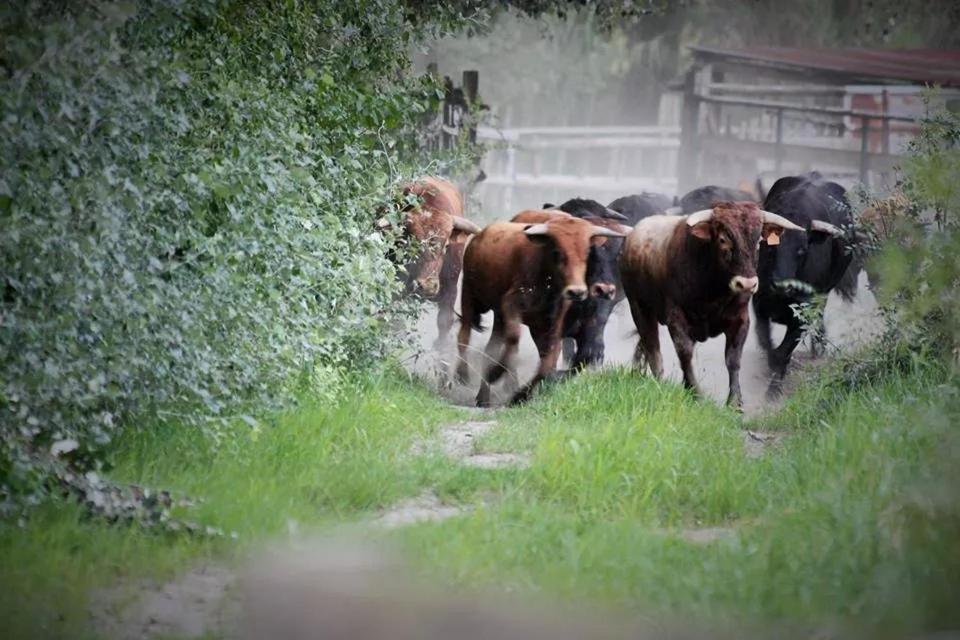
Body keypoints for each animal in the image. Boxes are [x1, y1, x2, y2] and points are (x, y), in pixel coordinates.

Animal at [460, 214, 632, 404]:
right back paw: (464, 377)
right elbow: (514, 339)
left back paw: (487, 395)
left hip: (500, 317)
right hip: (469, 297)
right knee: (465, 334)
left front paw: (521, 395)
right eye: (557, 252)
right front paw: (496, 373)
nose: (604, 290)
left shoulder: (555, 327)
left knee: (491, 348)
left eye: (587, 254)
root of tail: (479, 236)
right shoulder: (511, 305)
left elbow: (549, 364)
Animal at [616, 202, 804, 408]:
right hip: (639, 309)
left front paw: (734, 401)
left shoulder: (740, 319)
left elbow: (733, 359)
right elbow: (685, 354)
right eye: (723, 239)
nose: (747, 284)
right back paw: (659, 382)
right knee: (653, 350)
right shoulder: (676, 318)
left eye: (757, 241)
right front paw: (695, 393)